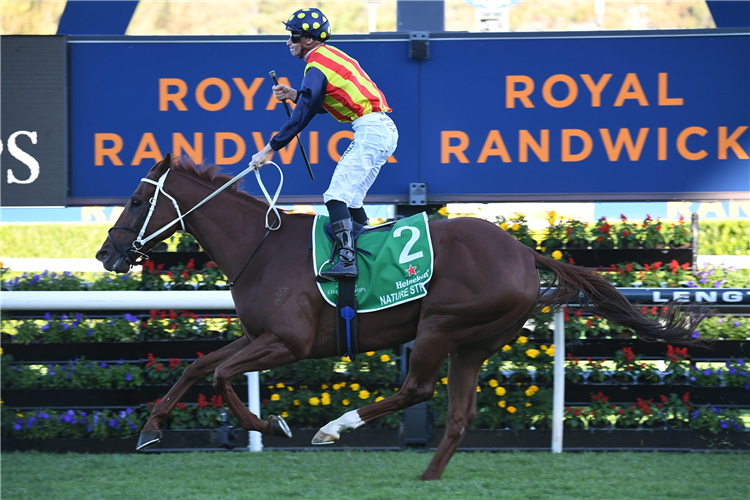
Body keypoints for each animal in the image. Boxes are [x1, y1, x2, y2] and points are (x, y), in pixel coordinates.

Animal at [97, 155, 708, 480]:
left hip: (440, 324)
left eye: (135, 201)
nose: (106, 254)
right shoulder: (260, 335)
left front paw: (272, 425)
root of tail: (524, 252)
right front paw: (151, 428)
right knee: (458, 414)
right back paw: (428, 476)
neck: (260, 246)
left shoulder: (289, 342)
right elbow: (197, 367)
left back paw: (334, 428)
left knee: (417, 389)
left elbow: (222, 375)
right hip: (475, 342)